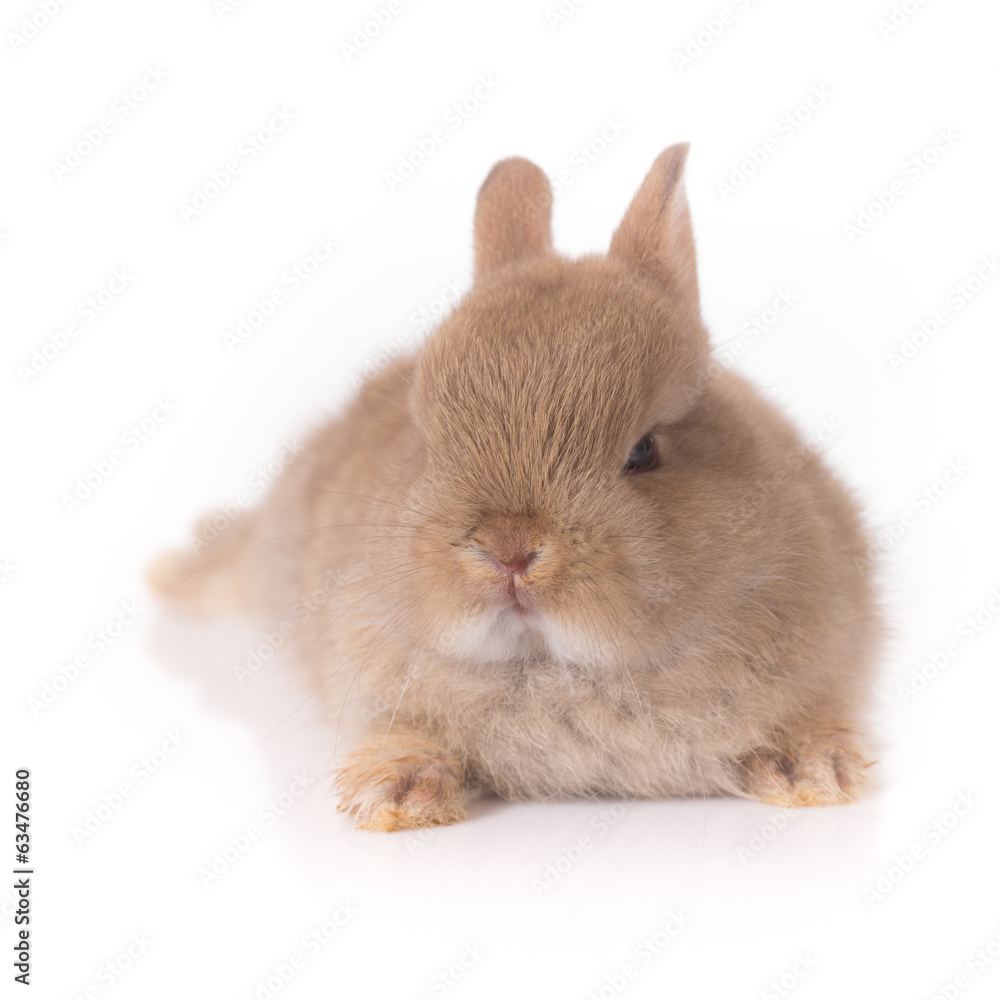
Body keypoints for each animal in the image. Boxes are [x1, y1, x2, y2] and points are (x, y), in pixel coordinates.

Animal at [150, 143, 882, 831]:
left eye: (644, 451)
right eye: (429, 441)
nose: (508, 553)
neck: (560, 674)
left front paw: (813, 771)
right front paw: (394, 794)